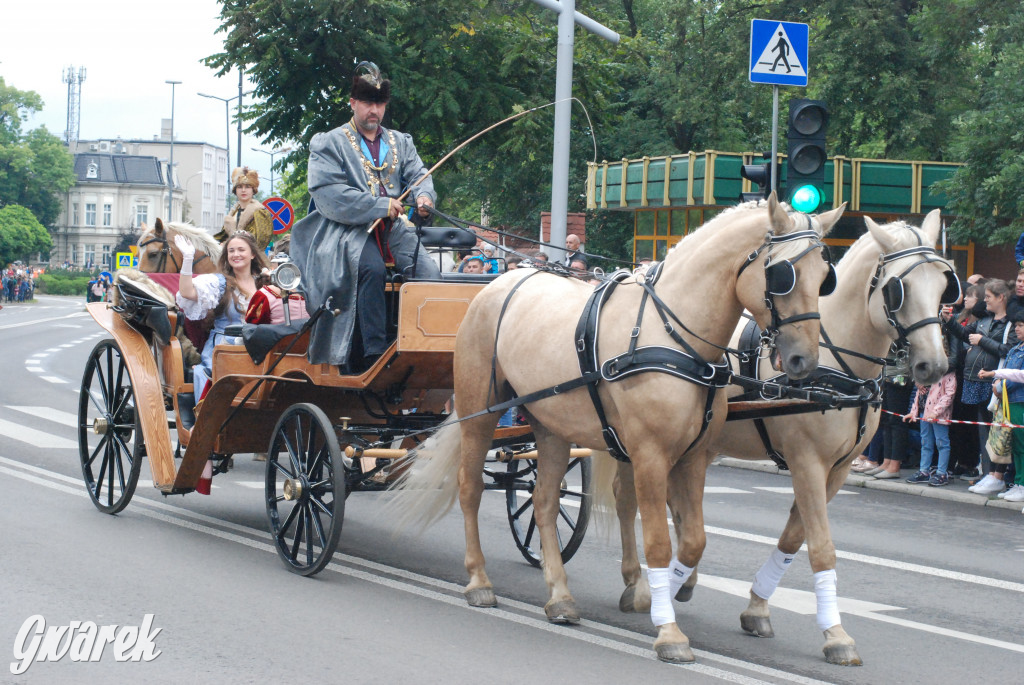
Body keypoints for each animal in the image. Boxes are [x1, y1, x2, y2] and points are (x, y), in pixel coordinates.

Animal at [387, 193, 843, 663]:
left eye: (825, 276)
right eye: (783, 274)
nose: (804, 361)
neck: (674, 336)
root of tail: (500, 283)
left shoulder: (695, 456)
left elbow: (693, 539)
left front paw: (664, 595)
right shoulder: (650, 455)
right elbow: (658, 540)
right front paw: (668, 630)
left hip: (550, 427)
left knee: (544, 502)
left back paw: (560, 598)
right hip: (481, 413)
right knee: (471, 489)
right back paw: (479, 581)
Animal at [598, 210, 954, 663]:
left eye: (944, 284)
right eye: (897, 289)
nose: (934, 366)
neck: (836, 363)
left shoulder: (835, 471)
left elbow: (793, 538)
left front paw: (757, 608)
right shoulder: (807, 462)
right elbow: (820, 547)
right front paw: (836, 634)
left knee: (670, 507)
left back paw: (681, 581)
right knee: (628, 501)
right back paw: (638, 582)